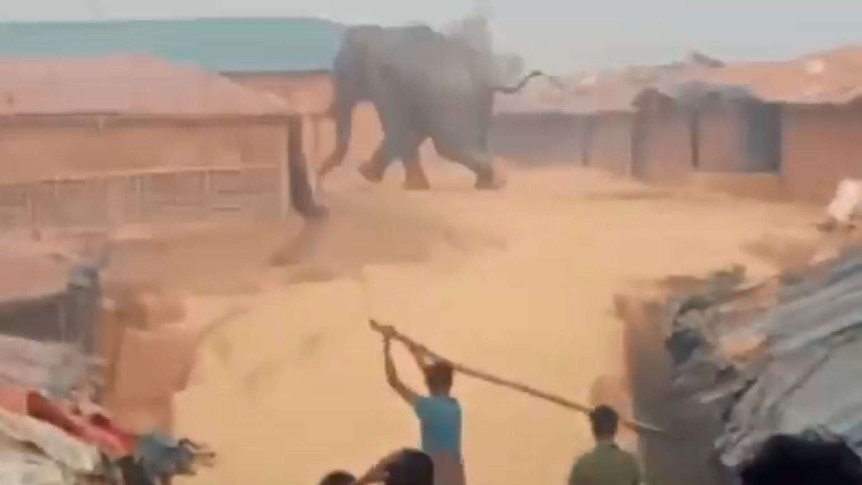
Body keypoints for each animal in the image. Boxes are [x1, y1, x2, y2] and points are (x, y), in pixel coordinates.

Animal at [320, 25, 552, 189]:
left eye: (342, 74)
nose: (319, 175)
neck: (375, 34)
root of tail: (486, 79)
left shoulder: (384, 83)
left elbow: (397, 129)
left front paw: (410, 186)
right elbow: (413, 131)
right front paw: (371, 175)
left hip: (453, 100)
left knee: (449, 146)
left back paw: (495, 182)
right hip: (475, 103)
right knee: (473, 141)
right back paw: (492, 183)